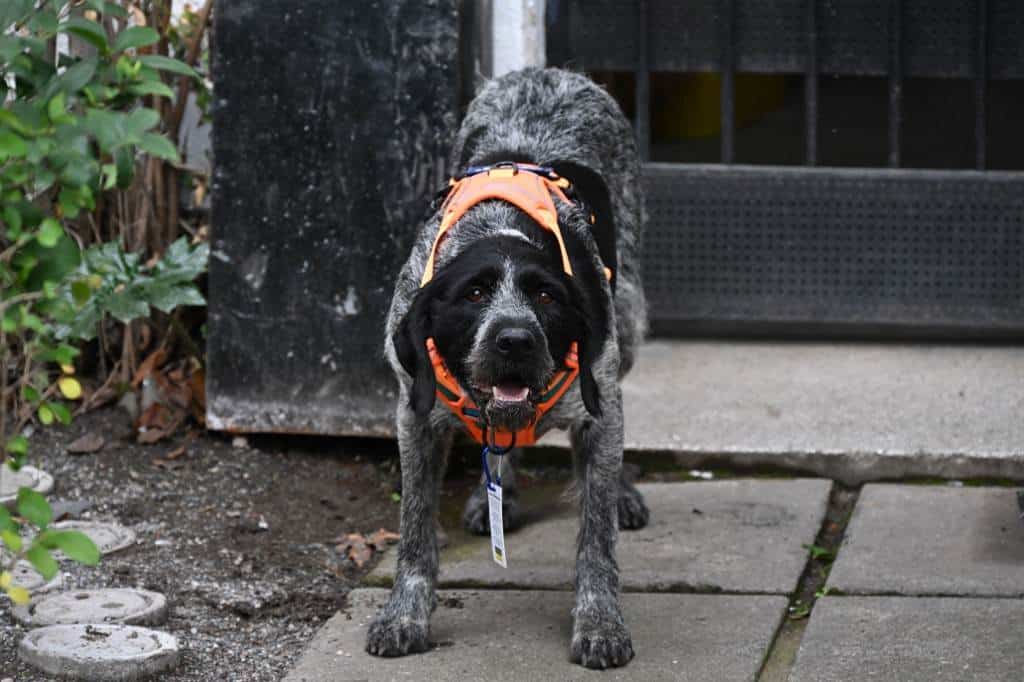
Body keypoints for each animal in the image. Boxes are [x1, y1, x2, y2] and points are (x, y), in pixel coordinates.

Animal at [370, 66, 647, 667]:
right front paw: (404, 614)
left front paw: (599, 622)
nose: (515, 340)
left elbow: (596, 536)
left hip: (630, 316)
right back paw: (496, 491)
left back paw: (619, 493)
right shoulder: (415, 415)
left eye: (547, 297)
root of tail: (549, 73)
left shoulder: (598, 401)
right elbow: (414, 530)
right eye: (473, 293)